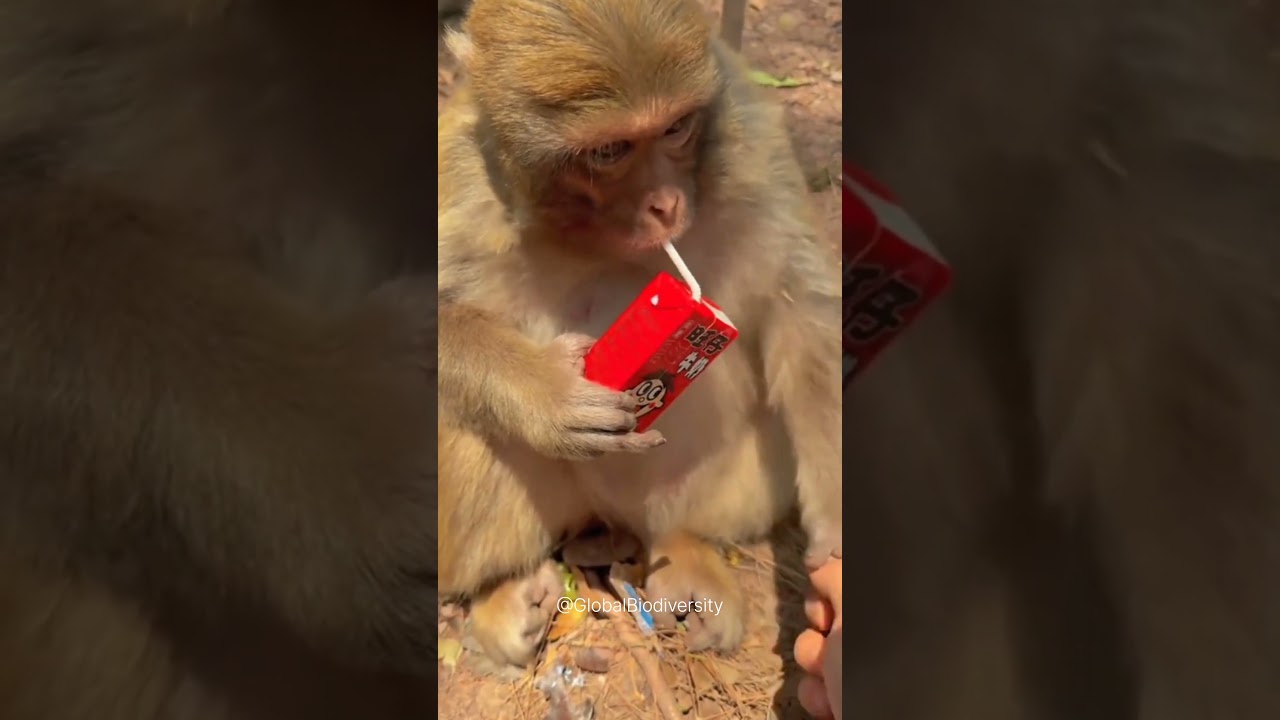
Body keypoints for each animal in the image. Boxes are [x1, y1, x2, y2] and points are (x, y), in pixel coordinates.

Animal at [435, 0, 843, 668]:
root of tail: (612, 515)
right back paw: (503, 594)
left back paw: (688, 550)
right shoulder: (460, 179)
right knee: (464, 425)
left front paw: (837, 539)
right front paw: (547, 393)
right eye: (609, 150)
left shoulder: (750, 142)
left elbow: (803, 306)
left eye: (676, 128)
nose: (665, 204)